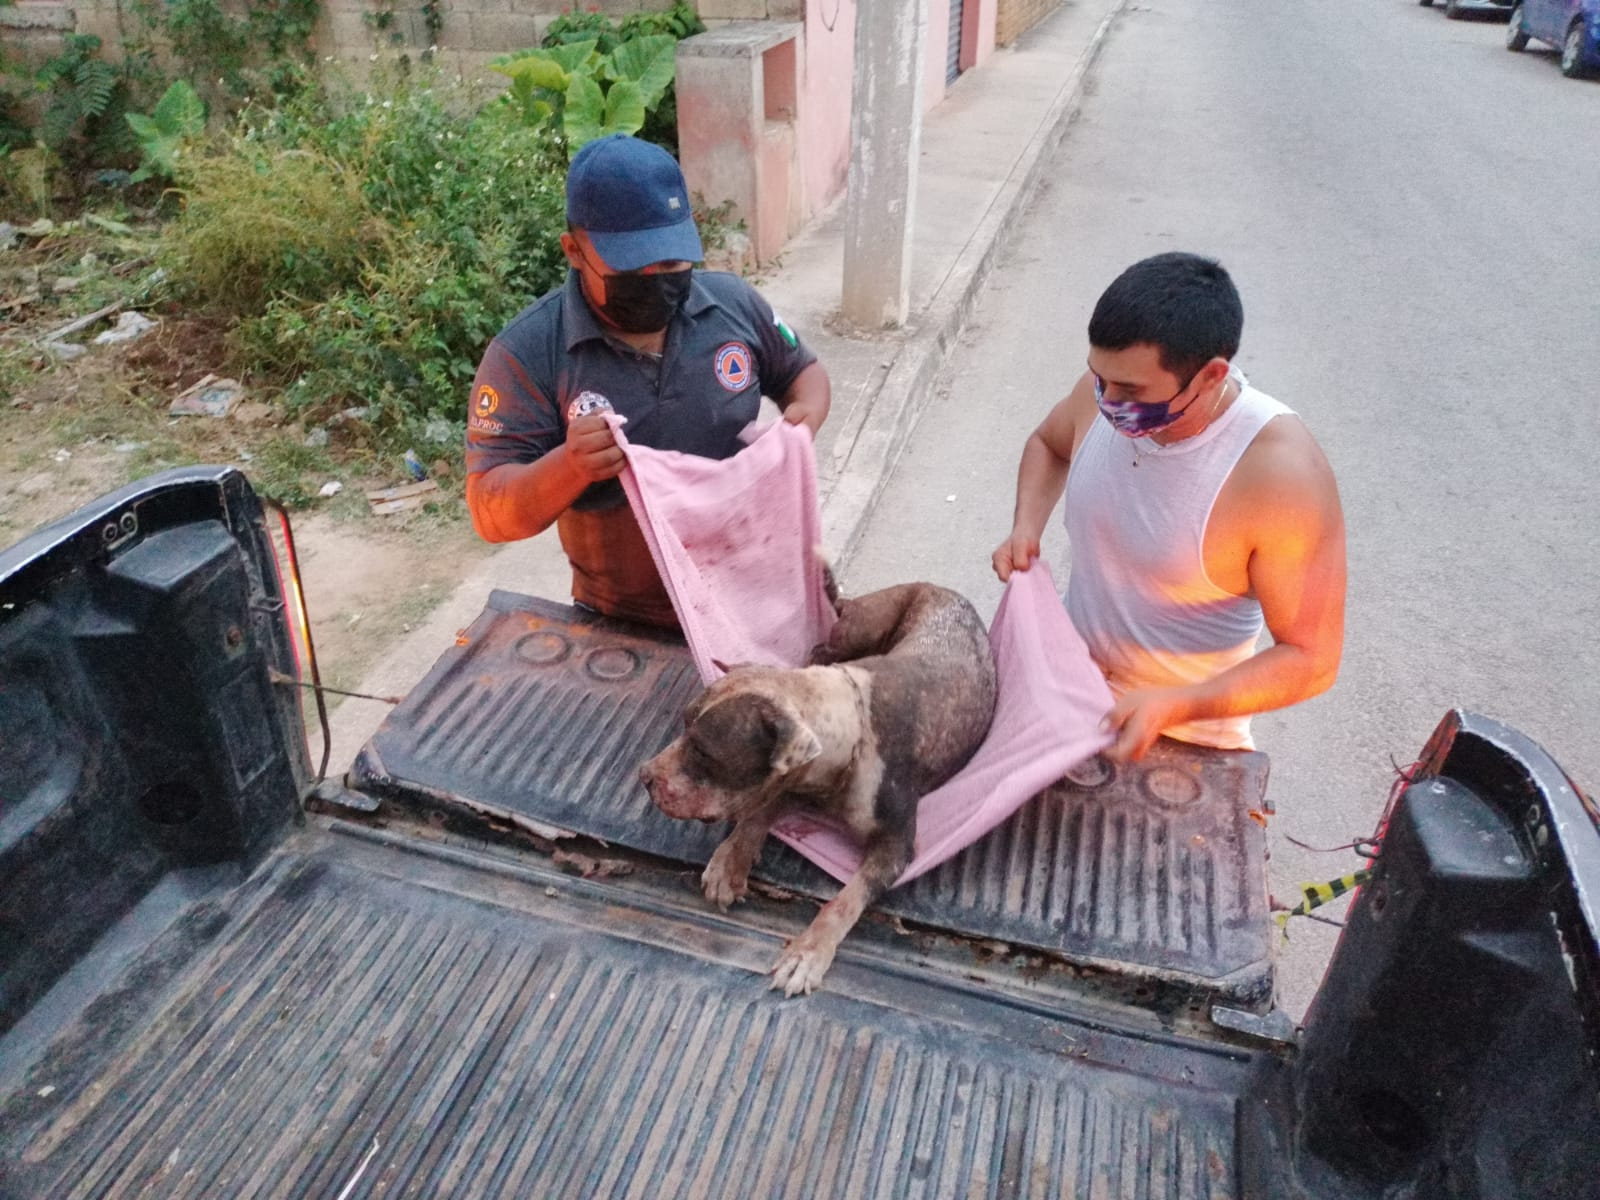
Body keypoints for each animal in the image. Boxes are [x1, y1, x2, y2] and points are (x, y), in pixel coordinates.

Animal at [640, 585, 992, 998]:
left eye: (702, 751)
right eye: (682, 723)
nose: (645, 775)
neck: (851, 725)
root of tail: (942, 589)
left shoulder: (895, 846)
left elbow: (847, 899)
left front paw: (807, 953)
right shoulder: (797, 781)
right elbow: (759, 812)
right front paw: (731, 861)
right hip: (855, 632)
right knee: (821, 648)